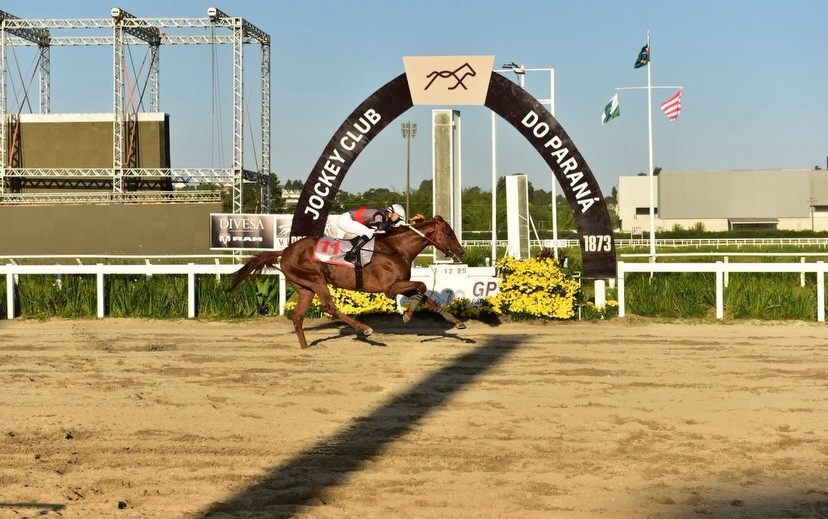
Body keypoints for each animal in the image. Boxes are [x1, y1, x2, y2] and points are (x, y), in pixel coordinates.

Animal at [226, 215, 468, 349]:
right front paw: (407, 316)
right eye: (449, 232)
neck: (395, 249)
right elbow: (423, 287)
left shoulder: (402, 284)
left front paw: (456, 322)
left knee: (297, 317)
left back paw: (305, 348)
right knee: (329, 306)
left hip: (305, 288)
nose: (462, 253)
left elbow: (427, 296)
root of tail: (284, 250)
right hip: (316, 280)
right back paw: (365, 329)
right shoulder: (390, 287)